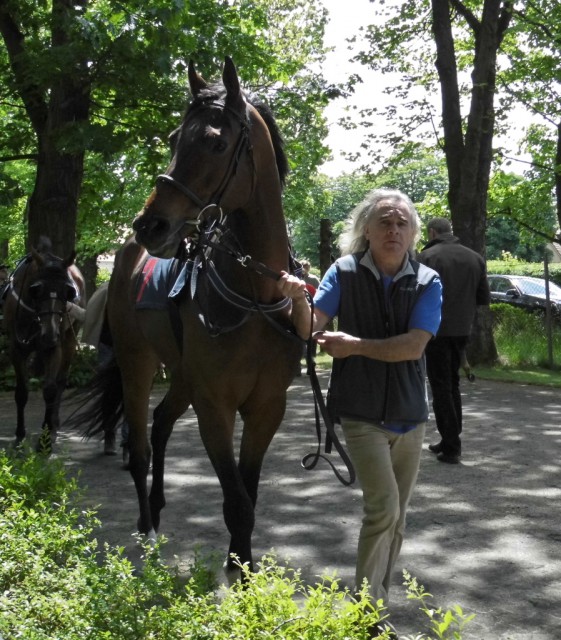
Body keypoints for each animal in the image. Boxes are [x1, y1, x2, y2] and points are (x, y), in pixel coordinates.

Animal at [2, 238, 86, 452]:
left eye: (68, 291)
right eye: (36, 290)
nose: (49, 333)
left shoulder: (54, 346)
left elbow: (50, 389)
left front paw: (45, 439)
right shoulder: (16, 348)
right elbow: (22, 392)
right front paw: (19, 435)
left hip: (70, 337)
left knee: (61, 381)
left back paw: (54, 423)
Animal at [77, 56, 302, 576]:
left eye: (216, 141)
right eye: (176, 139)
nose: (150, 224)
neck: (255, 296)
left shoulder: (267, 407)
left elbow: (248, 494)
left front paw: (243, 567)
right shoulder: (213, 407)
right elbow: (237, 502)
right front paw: (238, 576)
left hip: (180, 374)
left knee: (160, 424)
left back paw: (158, 509)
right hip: (138, 364)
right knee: (140, 448)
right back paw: (146, 527)